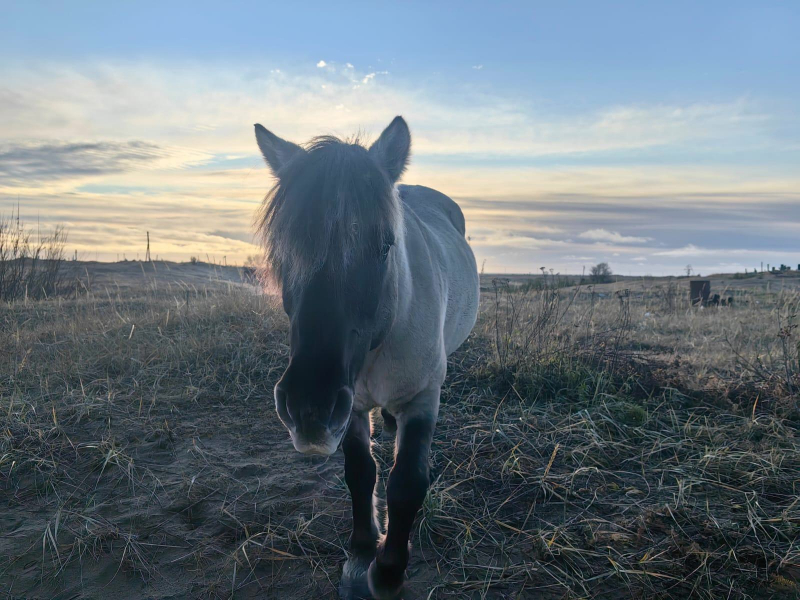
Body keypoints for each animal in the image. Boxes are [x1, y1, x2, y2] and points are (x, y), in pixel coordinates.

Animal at [253, 115, 478, 596]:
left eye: (385, 245)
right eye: (282, 253)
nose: (308, 408)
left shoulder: (422, 397)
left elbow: (406, 483)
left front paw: (388, 572)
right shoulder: (352, 405)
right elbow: (361, 474)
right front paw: (360, 554)